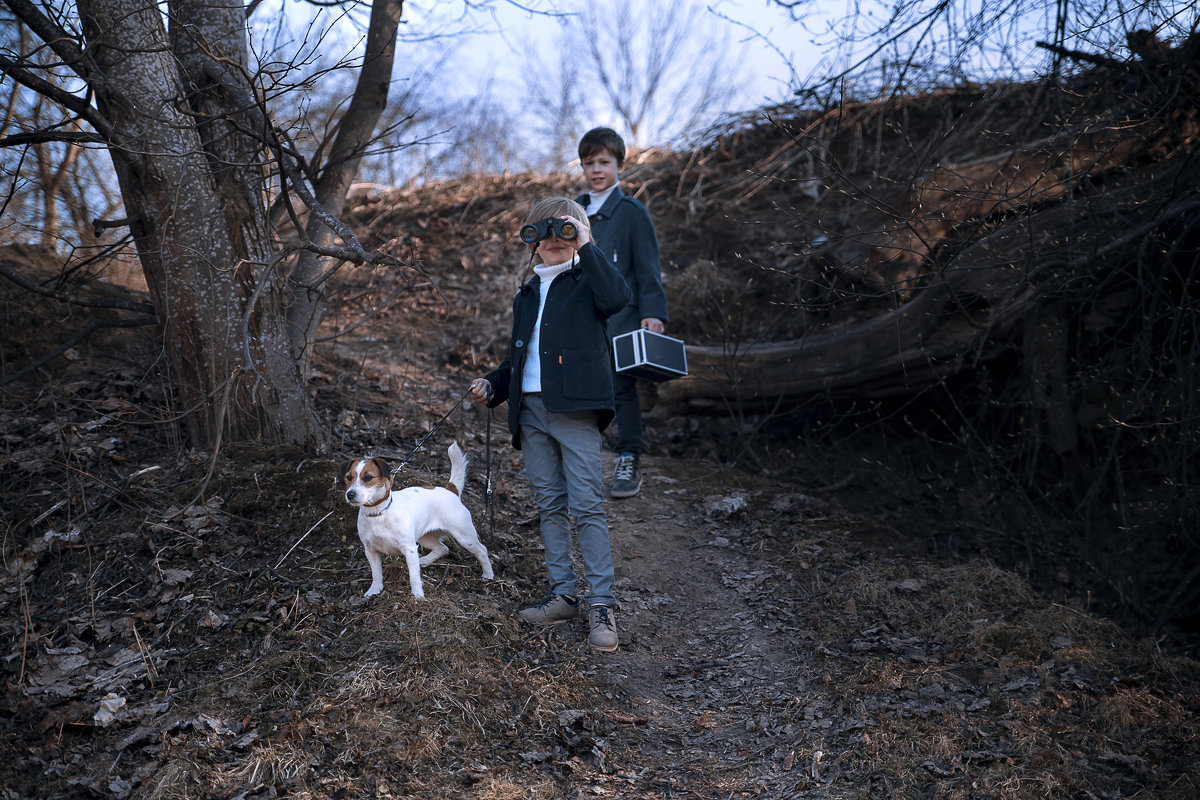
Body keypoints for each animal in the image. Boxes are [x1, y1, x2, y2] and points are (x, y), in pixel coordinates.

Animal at [338, 441, 492, 597]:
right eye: (349, 477)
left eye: (368, 477)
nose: (350, 494)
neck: (379, 513)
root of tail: (450, 490)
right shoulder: (370, 550)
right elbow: (376, 573)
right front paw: (375, 589)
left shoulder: (409, 548)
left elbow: (414, 576)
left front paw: (418, 595)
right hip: (425, 537)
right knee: (443, 548)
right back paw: (424, 561)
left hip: (464, 536)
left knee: (482, 550)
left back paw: (488, 574)